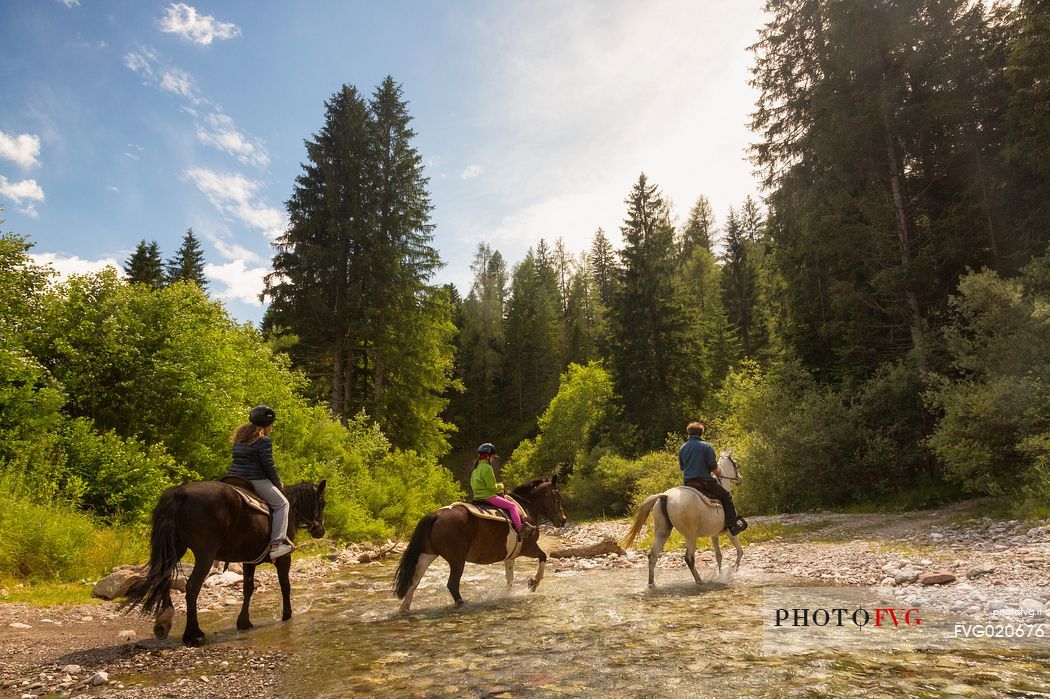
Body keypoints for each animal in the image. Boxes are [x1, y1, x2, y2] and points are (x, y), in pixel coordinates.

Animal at [120, 476, 323, 646]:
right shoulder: (284, 558)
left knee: (164, 579)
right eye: (322, 502)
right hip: (205, 555)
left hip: (174, 550)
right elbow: (285, 586)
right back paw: (194, 635)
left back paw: (164, 623)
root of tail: (181, 492)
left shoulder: (249, 561)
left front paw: (244, 622)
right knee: (192, 587)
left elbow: (248, 589)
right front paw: (287, 615)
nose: (320, 531)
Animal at [394, 474, 571, 608]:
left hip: (427, 555)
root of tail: (436, 515)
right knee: (452, 584)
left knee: (414, 582)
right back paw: (462, 605)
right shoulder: (528, 548)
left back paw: (404, 609)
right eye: (557, 497)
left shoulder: (511, 556)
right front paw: (533, 582)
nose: (563, 520)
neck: (525, 508)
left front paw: (508, 594)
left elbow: (510, 579)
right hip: (457, 560)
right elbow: (543, 557)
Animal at [617, 449, 743, 583]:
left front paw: (720, 574)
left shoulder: (714, 534)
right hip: (690, 535)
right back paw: (699, 581)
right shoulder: (730, 532)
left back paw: (651, 584)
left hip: (662, 532)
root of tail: (666, 496)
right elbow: (739, 552)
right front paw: (733, 573)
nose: (739, 478)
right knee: (689, 558)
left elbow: (718, 556)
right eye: (735, 463)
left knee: (653, 556)